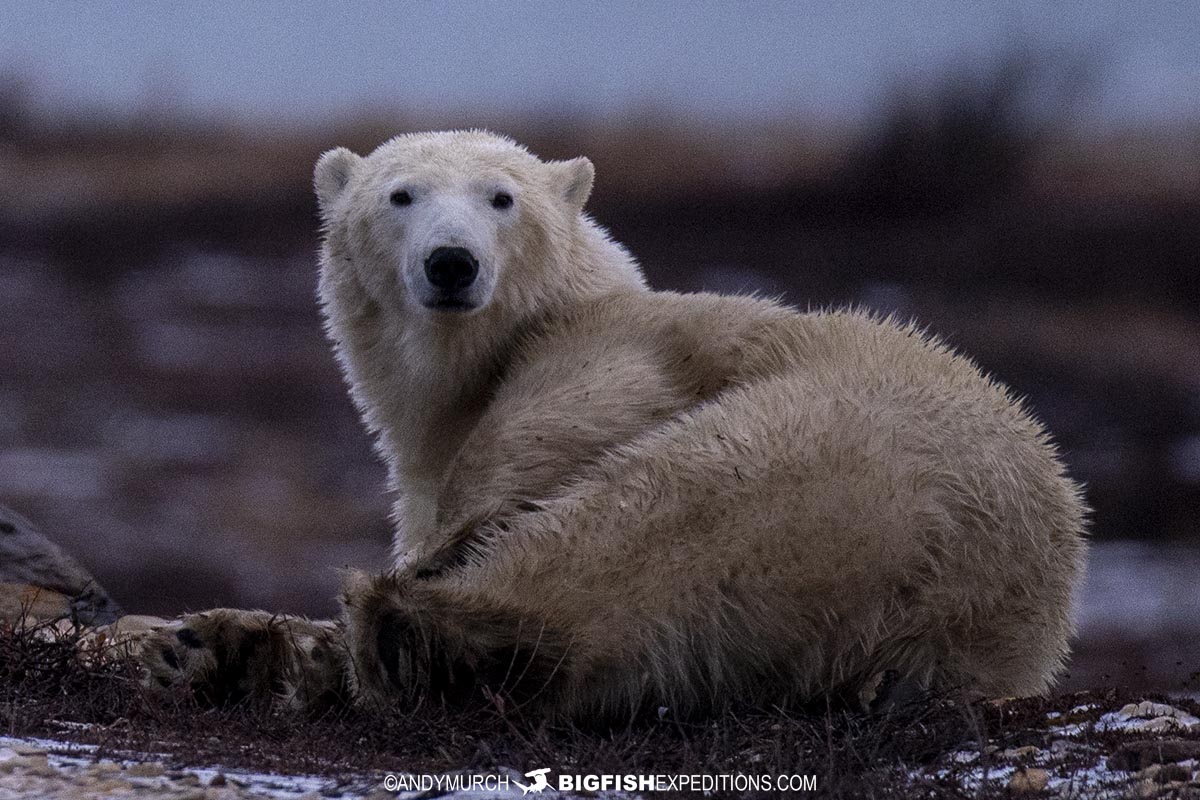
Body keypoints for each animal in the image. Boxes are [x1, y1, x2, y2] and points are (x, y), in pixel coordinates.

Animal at [138, 131, 1089, 719]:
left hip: (825, 459)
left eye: (502, 198)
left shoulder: (614, 352)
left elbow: (537, 449)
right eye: (401, 195)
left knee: (642, 535)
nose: (452, 263)